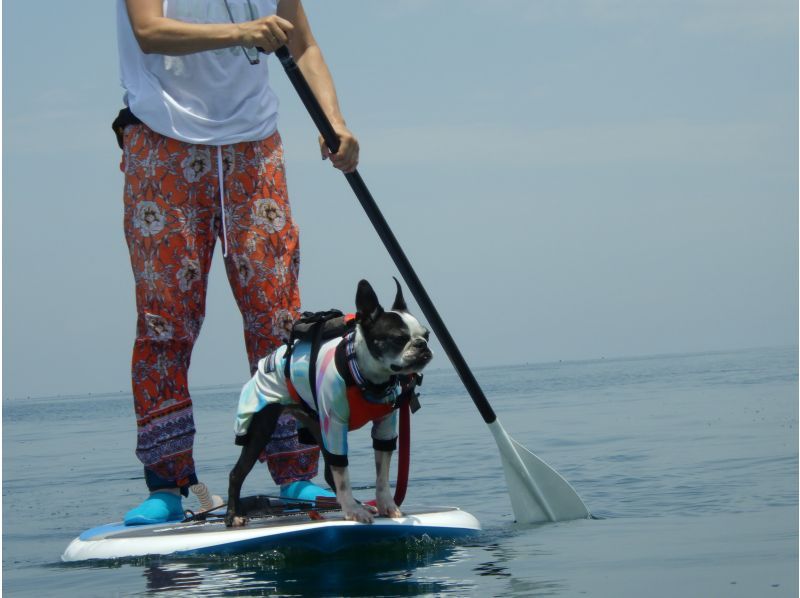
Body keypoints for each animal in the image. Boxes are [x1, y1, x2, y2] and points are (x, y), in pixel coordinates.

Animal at [227, 278, 432, 528]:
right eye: (398, 338)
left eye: (427, 335)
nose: (421, 345)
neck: (366, 378)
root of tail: (266, 362)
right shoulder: (334, 425)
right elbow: (342, 473)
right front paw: (352, 512)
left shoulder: (384, 427)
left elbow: (382, 475)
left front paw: (386, 505)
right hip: (263, 428)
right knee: (237, 472)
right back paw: (233, 515)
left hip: (317, 426)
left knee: (328, 470)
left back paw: (360, 503)